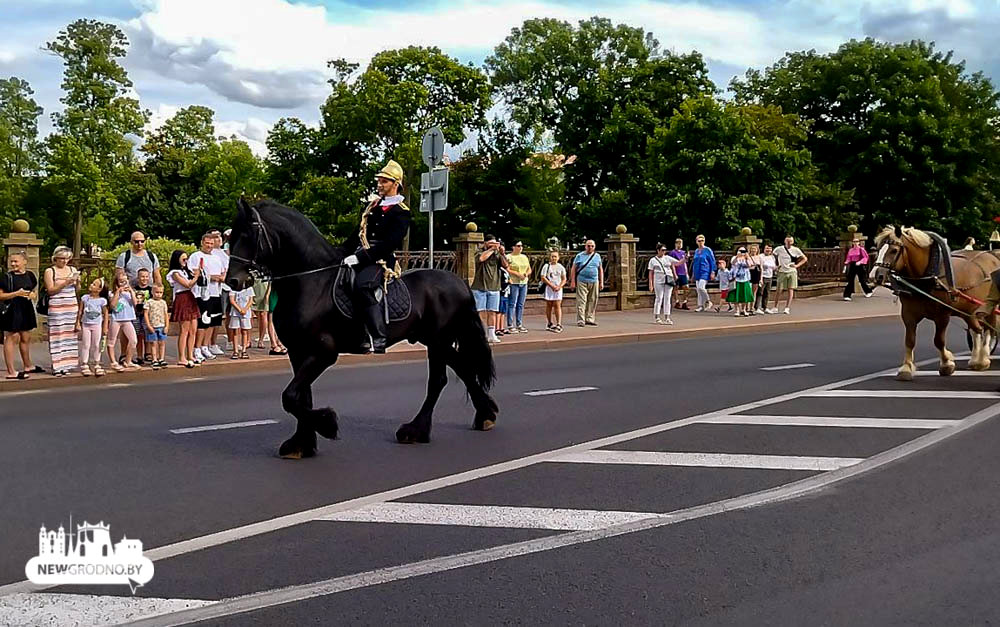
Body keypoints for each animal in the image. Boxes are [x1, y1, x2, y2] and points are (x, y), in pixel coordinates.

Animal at [223, 199, 496, 458]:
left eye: (248, 234)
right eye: (231, 237)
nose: (232, 281)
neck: (310, 282)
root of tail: (459, 282)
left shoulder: (323, 352)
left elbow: (290, 397)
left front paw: (326, 424)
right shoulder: (298, 351)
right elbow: (301, 396)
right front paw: (302, 443)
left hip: (438, 340)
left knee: (439, 380)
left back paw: (416, 430)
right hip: (433, 339)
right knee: (463, 368)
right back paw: (486, 414)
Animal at [868, 227, 1000, 380]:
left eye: (894, 250)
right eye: (878, 249)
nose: (874, 276)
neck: (927, 278)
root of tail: (992, 256)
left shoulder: (942, 315)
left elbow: (939, 340)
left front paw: (947, 365)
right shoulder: (908, 314)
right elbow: (910, 340)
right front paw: (906, 368)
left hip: (989, 306)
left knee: (989, 329)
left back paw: (983, 359)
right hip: (968, 310)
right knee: (976, 330)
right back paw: (975, 360)